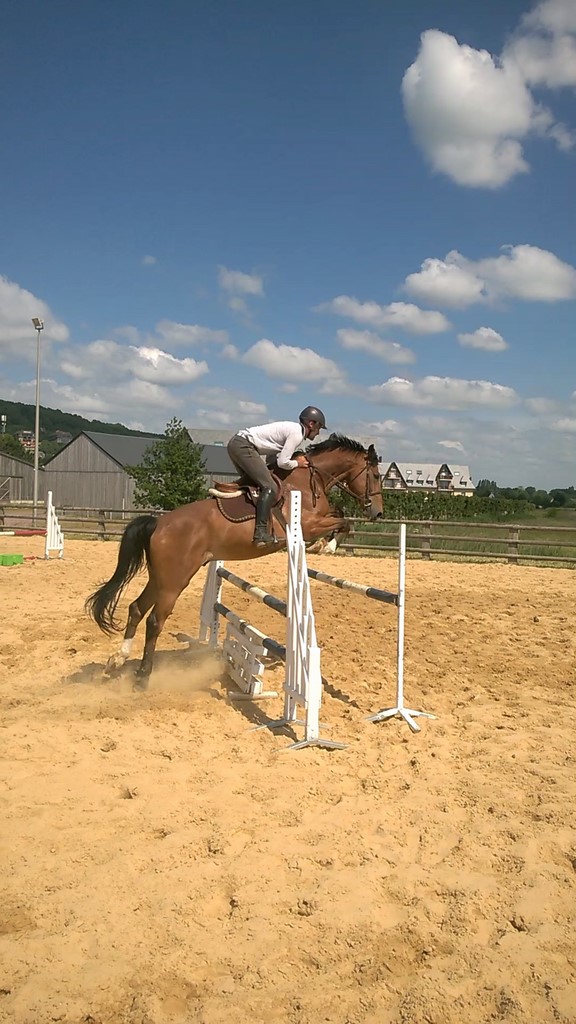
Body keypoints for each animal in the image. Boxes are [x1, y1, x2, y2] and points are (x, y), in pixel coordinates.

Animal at [85, 433, 383, 687]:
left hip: (161, 578)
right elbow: (343, 521)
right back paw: (143, 676)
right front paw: (326, 545)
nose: (378, 513)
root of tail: (158, 523)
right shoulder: (307, 526)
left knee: (137, 608)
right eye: (376, 475)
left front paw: (327, 543)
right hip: (174, 581)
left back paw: (118, 660)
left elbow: (340, 514)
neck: (308, 482)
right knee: (155, 621)